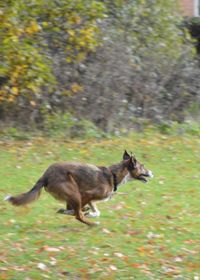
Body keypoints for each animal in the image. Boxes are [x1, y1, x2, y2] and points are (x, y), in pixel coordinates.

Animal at [5, 151, 154, 225]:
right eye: (142, 166)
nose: (152, 173)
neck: (114, 175)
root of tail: (45, 175)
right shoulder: (86, 194)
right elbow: (78, 211)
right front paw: (86, 213)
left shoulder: (90, 199)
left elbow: (95, 211)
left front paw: (90, 212)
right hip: (74, 192)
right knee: (77, 215)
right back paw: (91, 223)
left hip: (71, 193)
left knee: (70, 211)